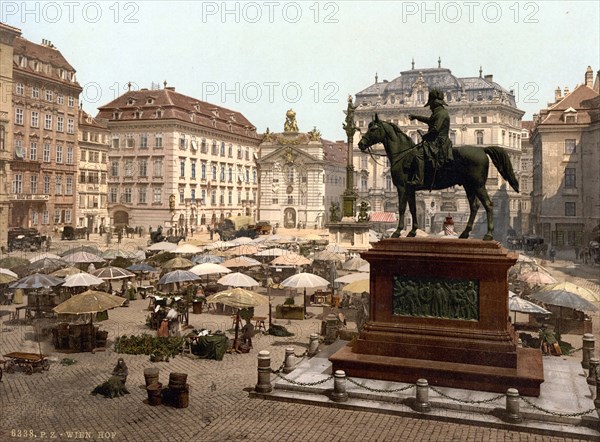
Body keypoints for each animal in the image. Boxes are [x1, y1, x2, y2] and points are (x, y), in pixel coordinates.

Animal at [356, 113, 520, 238]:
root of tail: (482, 149)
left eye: (373, 129)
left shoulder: (402, 188)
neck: (404, 154)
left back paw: (488, 235)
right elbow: (413, 209)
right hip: (469, 186)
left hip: (478, 185)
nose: (360, 144)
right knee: (474, 207)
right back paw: (465, 233)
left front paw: (397, 232)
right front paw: (412, 231)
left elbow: (402, 208)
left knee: (488, 204)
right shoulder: (411, 189)